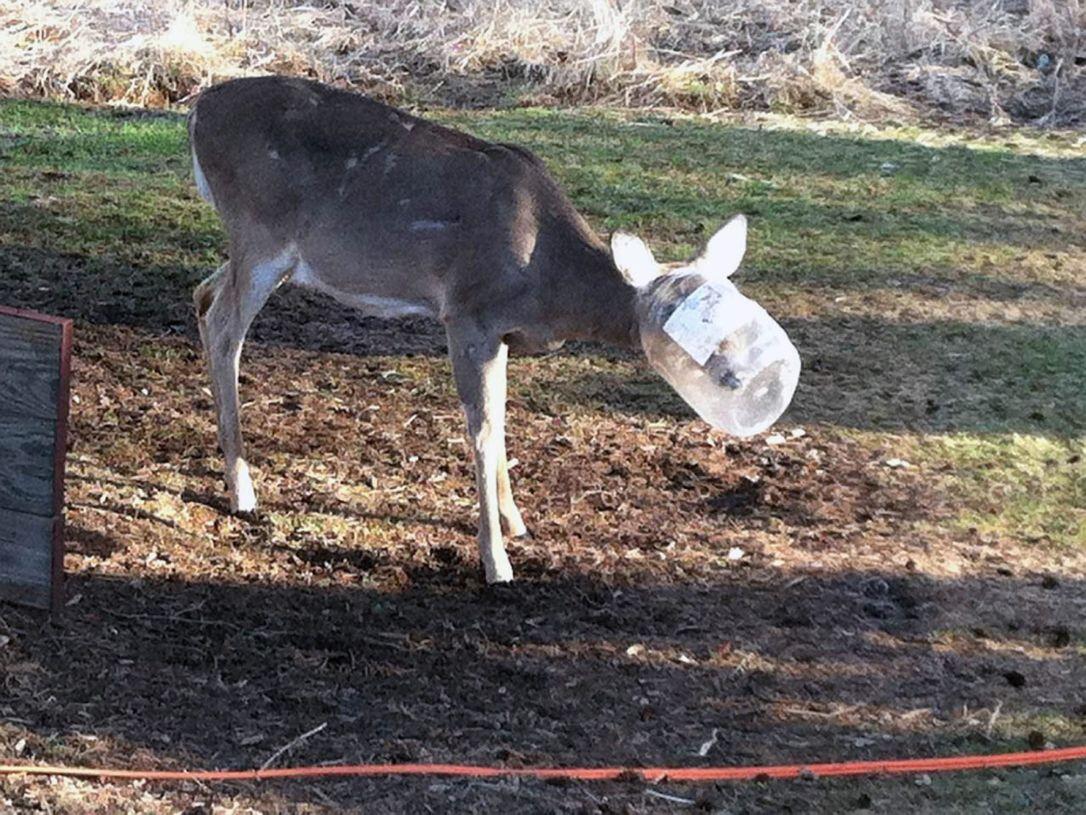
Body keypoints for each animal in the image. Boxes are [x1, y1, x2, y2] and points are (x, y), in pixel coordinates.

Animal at [186, 76, 799, 586]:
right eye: (684, 329)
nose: (745, 377)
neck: (549, 282)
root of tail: (196, 110)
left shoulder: (500, 333)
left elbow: (502, 420)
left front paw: (515, 520)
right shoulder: (467, 313)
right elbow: (481, 431)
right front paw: (495, 561)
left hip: (259, 249)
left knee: (204, 294)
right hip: (261, 232)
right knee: (224, 327)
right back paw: (242, 489)